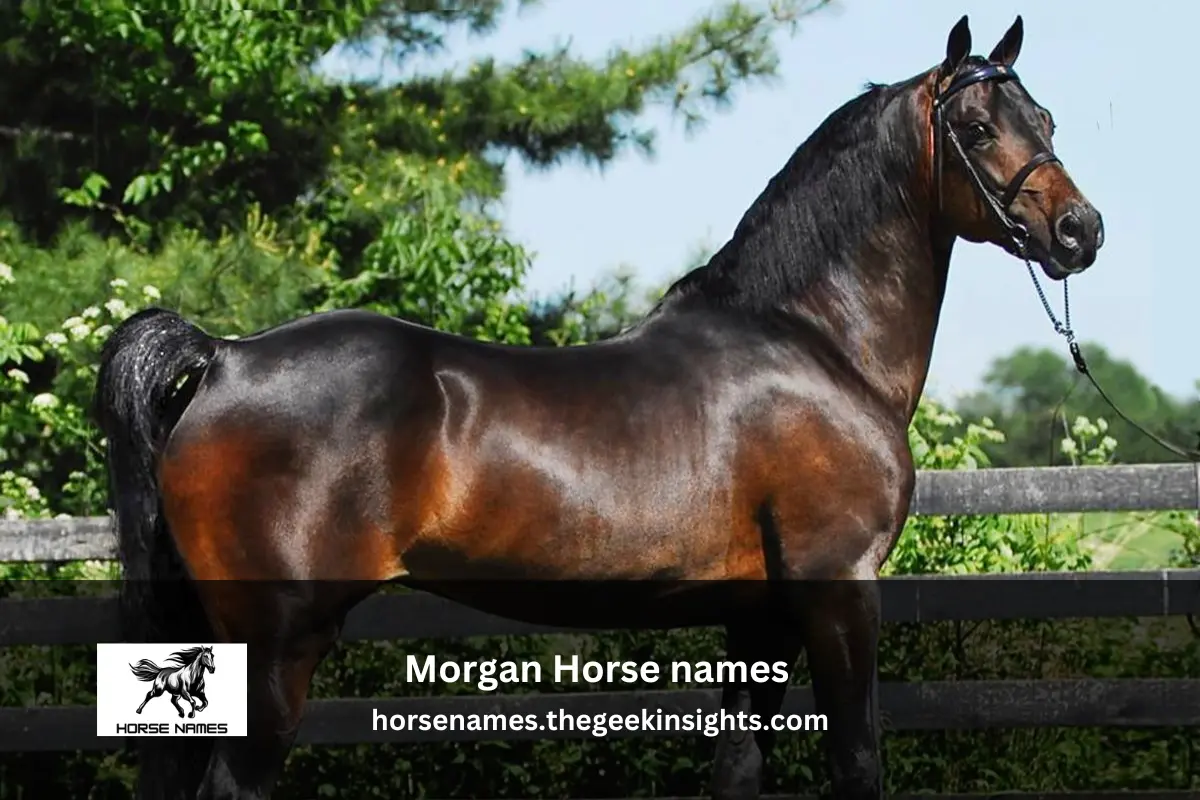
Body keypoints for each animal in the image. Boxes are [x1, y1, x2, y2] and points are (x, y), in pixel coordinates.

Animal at [94, 14, 1103, 800]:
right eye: (976, 126)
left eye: (1047, 118)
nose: (1079, 231)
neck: (810, 340)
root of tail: (225, 357)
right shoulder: (837, 592)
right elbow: (858, 765)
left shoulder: (759, 617)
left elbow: (738, 769)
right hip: (276, 649)